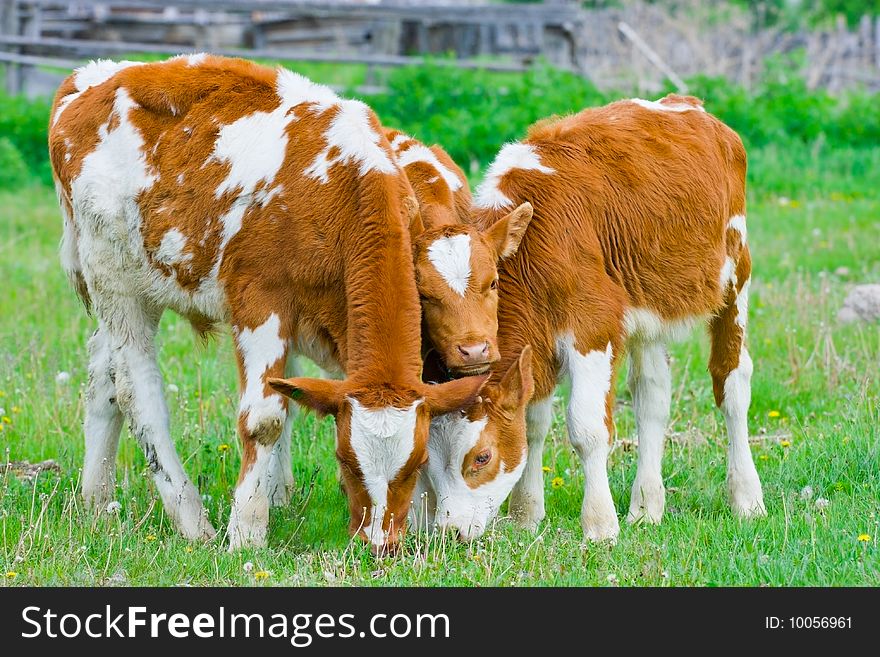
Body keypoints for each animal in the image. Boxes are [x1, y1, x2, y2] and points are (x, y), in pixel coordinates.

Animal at [49, 55, 488, 548]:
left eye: (415, 463)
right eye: (346, 461)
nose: (379, 546)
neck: (339, 188)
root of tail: (95, 75)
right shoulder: (260, 301)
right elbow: (265, 419)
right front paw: (246, 530)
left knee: (102, 375)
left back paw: (96, 501)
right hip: (117, 282)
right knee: (135, 391)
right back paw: (191, 519)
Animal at [416, 95, 768, 540]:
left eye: (481, 457)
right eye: (429, 458)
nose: (450, 531)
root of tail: (685, 103)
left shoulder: (592, 326)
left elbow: (586, 428)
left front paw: (600, 524)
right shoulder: (539, 338)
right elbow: (534, 421)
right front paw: (526, 515)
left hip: (736, 276)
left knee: (733, 382)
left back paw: (746, 498)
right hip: (648, 307)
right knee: (652, 394)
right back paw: (646, 507)